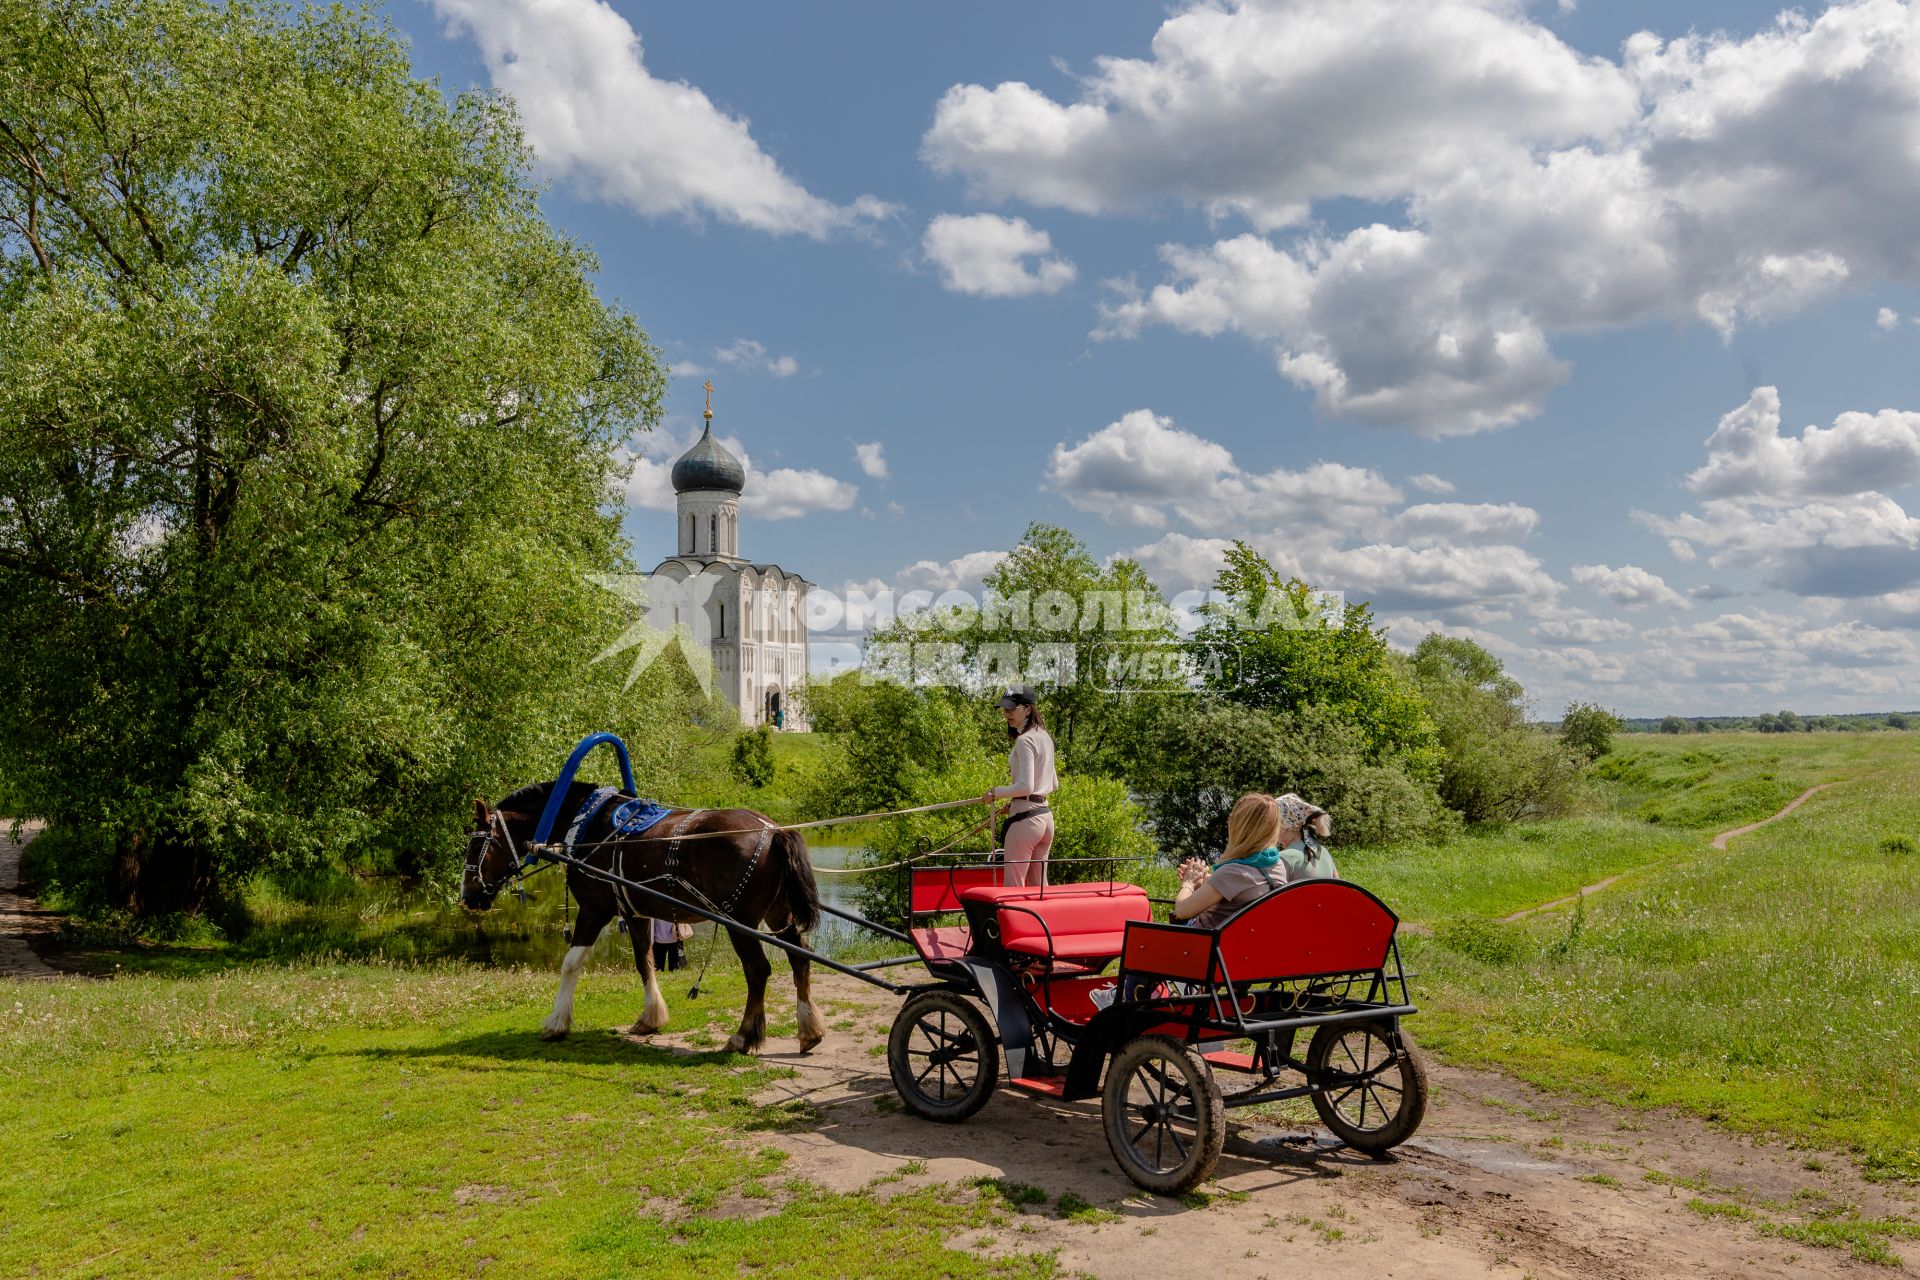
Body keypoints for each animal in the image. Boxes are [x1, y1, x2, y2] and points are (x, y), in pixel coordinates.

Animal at [466, 775, 833, 1059]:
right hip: (779, 914)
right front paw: (650, 1017)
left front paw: (557, 1023)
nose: (467, 896)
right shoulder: (636, 913)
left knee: (758, 970)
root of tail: (773, 830)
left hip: (740, 921)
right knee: (800, 958)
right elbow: (645, 961)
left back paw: (743, 1036)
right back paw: (809, 1030)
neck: (586, 826)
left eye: (476, 846)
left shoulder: (594, 910)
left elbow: (570, 963)